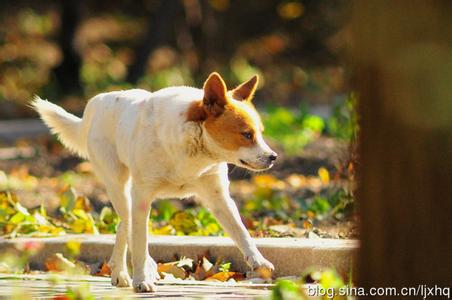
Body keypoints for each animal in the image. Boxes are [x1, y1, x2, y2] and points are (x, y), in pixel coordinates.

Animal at [31, 71, 278, 292]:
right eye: (246, 134)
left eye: (260, 133)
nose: (273, 157)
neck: (195, 151)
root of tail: (96, 102)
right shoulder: (142, 197)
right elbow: (140, 241)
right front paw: (142, 279)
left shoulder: (219, 198)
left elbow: (242, 233)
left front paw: (258, 261)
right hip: (119, 186)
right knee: (128, 224)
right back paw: (128, 271)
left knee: (124, 225)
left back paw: (121, 272)